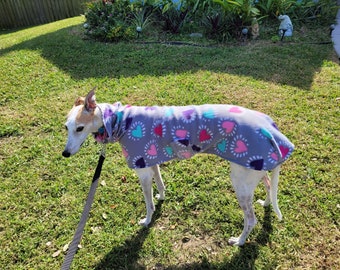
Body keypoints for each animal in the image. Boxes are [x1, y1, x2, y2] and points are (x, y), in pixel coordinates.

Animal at [62, 89, 294, 247]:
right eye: (66, 127)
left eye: (79, 128)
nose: (65, 153)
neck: (118, 120)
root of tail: (272, 130)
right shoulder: (150, 160)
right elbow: (160, 183)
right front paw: (162, 197)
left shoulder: (141, 169)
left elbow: (148, 202)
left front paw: (147, 220)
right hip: (252, 170)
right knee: (267, 185)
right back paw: (266, 203)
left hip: (240, 182)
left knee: (251, 220)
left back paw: (239, 241)